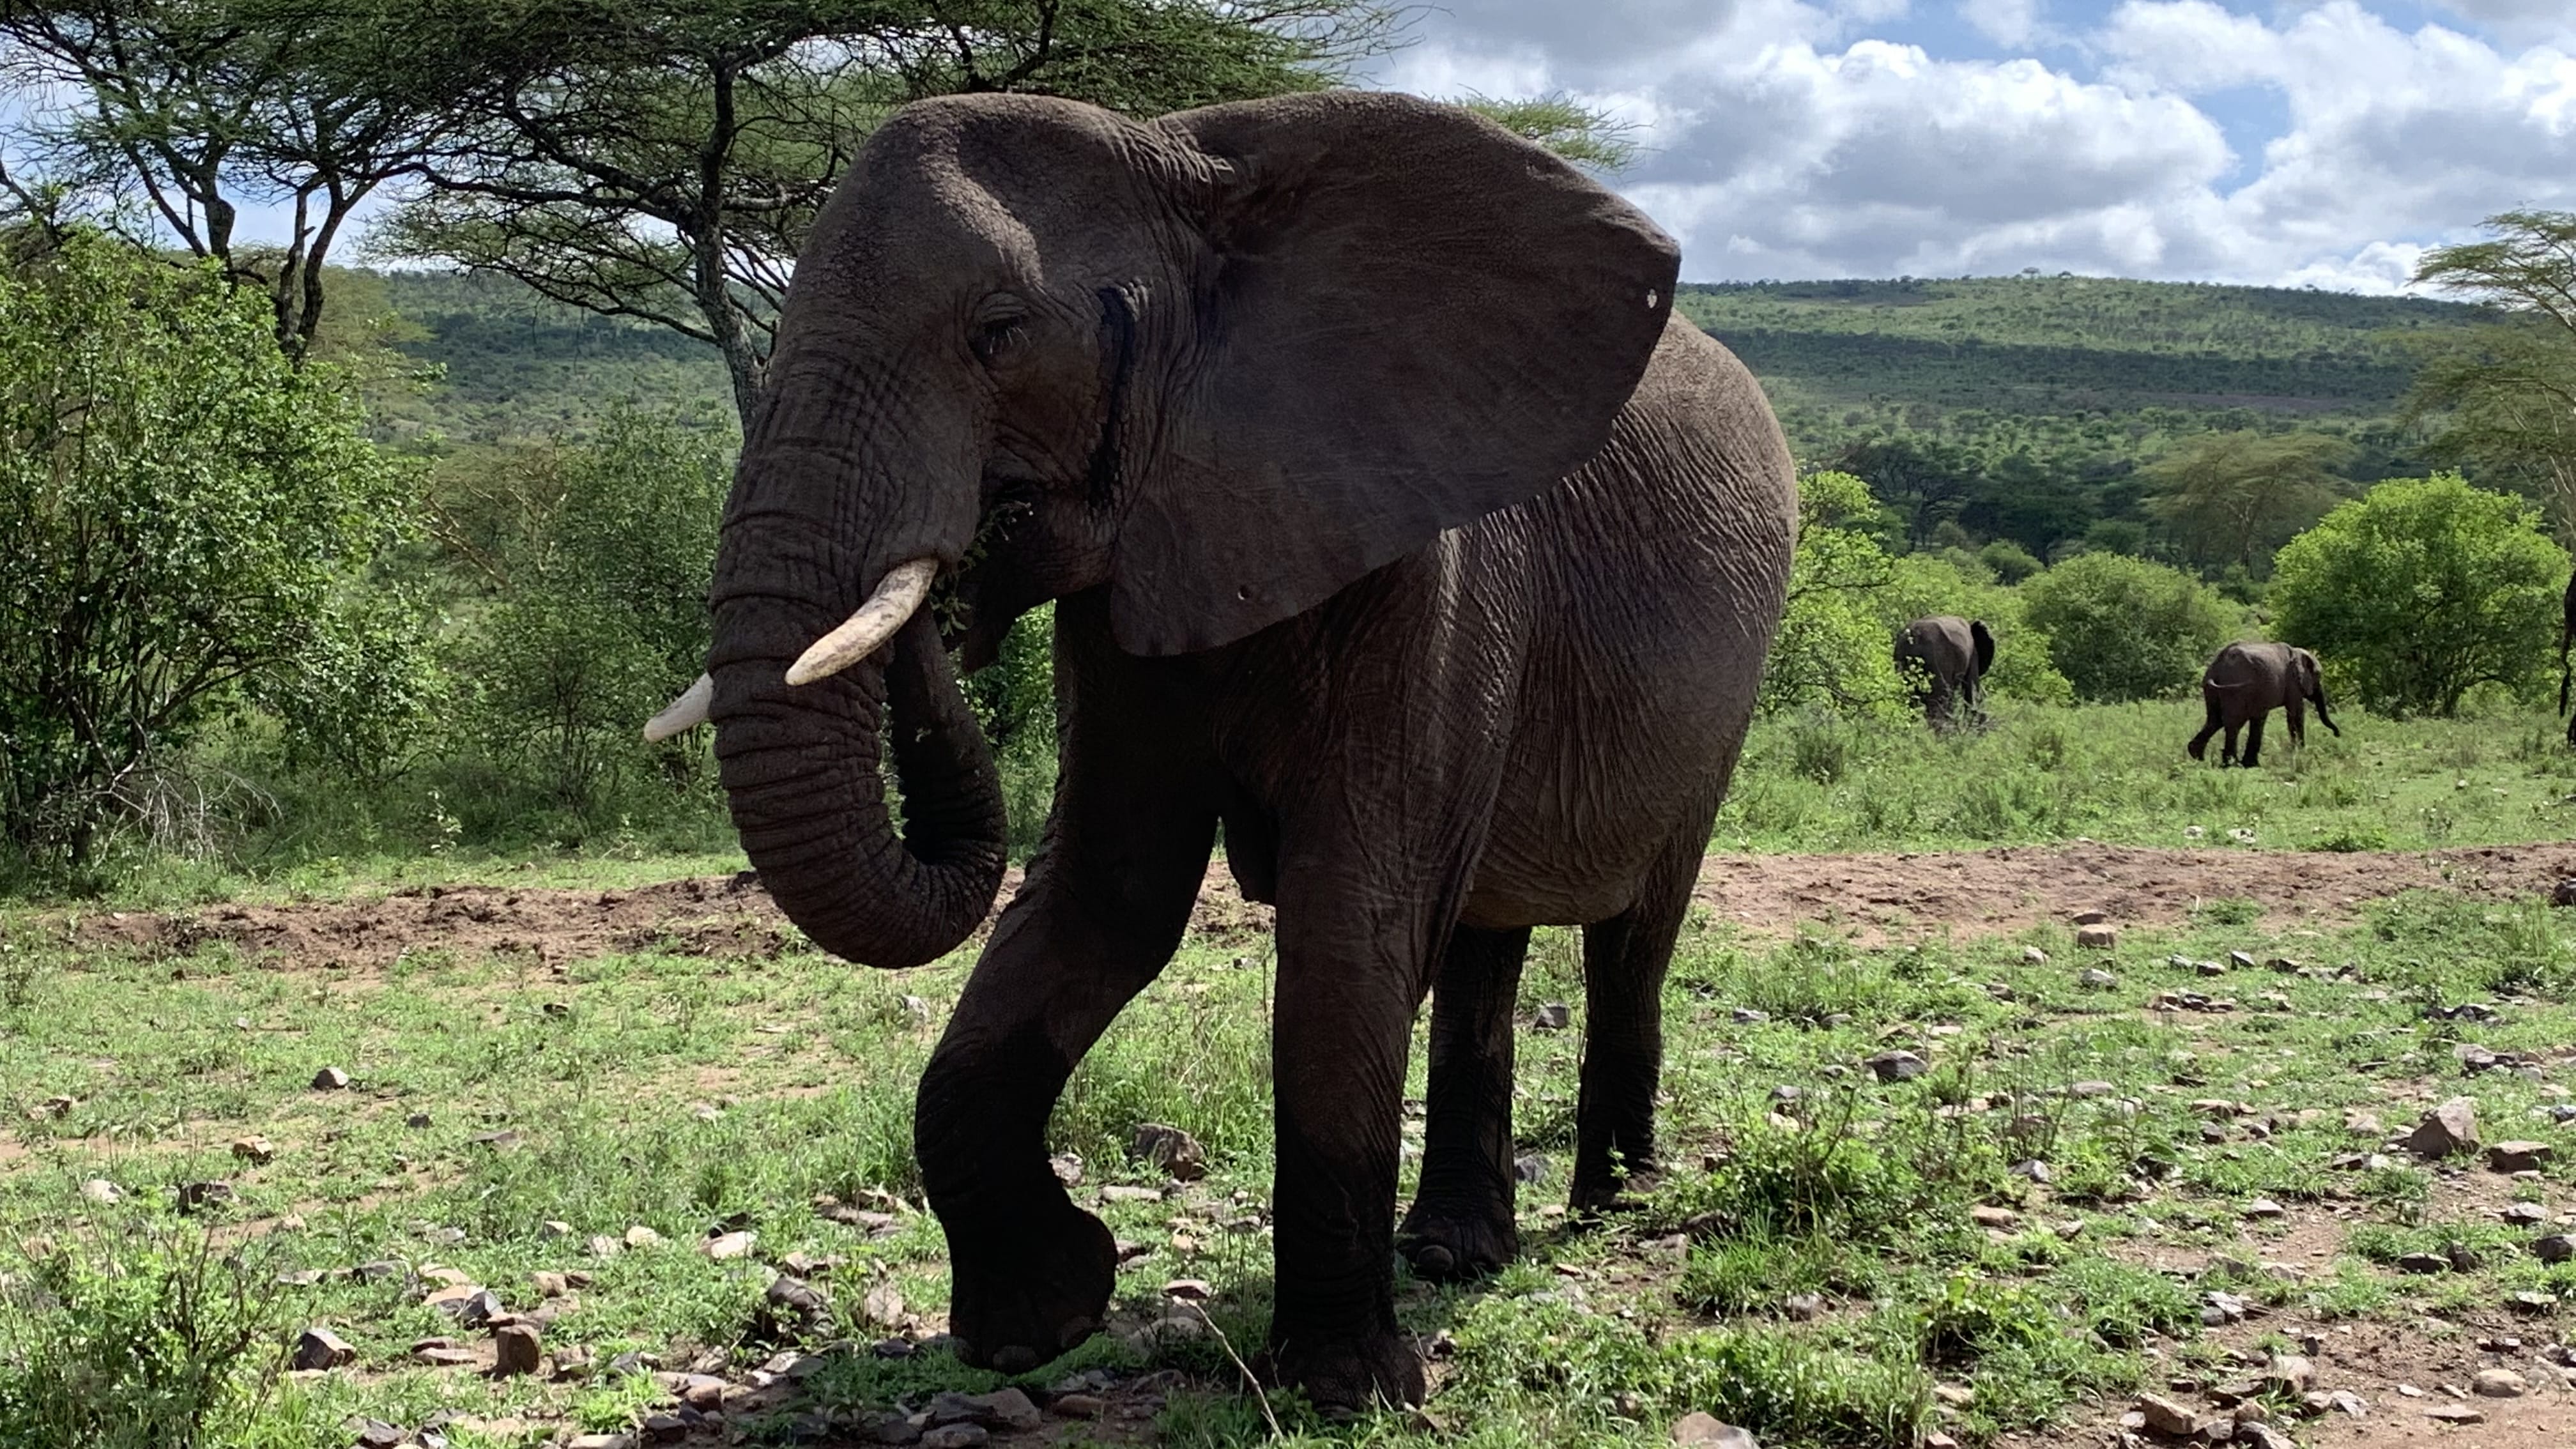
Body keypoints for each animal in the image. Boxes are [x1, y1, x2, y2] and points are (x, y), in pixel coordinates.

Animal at [640, 91, 1797, 1410]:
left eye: (998, 334)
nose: (963, 560)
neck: (1189, 161)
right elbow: (1103, 900)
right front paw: (1039, 1321)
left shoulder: (1432, 562)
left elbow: (1353, 922)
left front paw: (1343, 1387)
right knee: (1483, 940)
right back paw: (1451, 1250)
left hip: (1726, 685)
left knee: (1633, 930)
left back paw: (1611, 1195)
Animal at [1893, 615, 1993, 729]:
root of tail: (1914, 637)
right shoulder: (1973, 654)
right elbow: (1971, 689)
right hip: (1938, 659)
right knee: (1939, 700)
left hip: (1903, 659)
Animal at [2187, 641, 2338, 767]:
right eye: (2318, 675)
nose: (2337, 734)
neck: (2297, 652)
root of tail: (2218, 665)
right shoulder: (2293, 683)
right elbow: (2296, 715)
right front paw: (2300, 753)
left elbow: (2260, 719)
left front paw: (2251, 764)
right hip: (2235, 688)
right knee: (2234, 724)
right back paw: (2231, 764)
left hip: (2212, 690)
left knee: (2215, 720)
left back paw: (2198, 757)